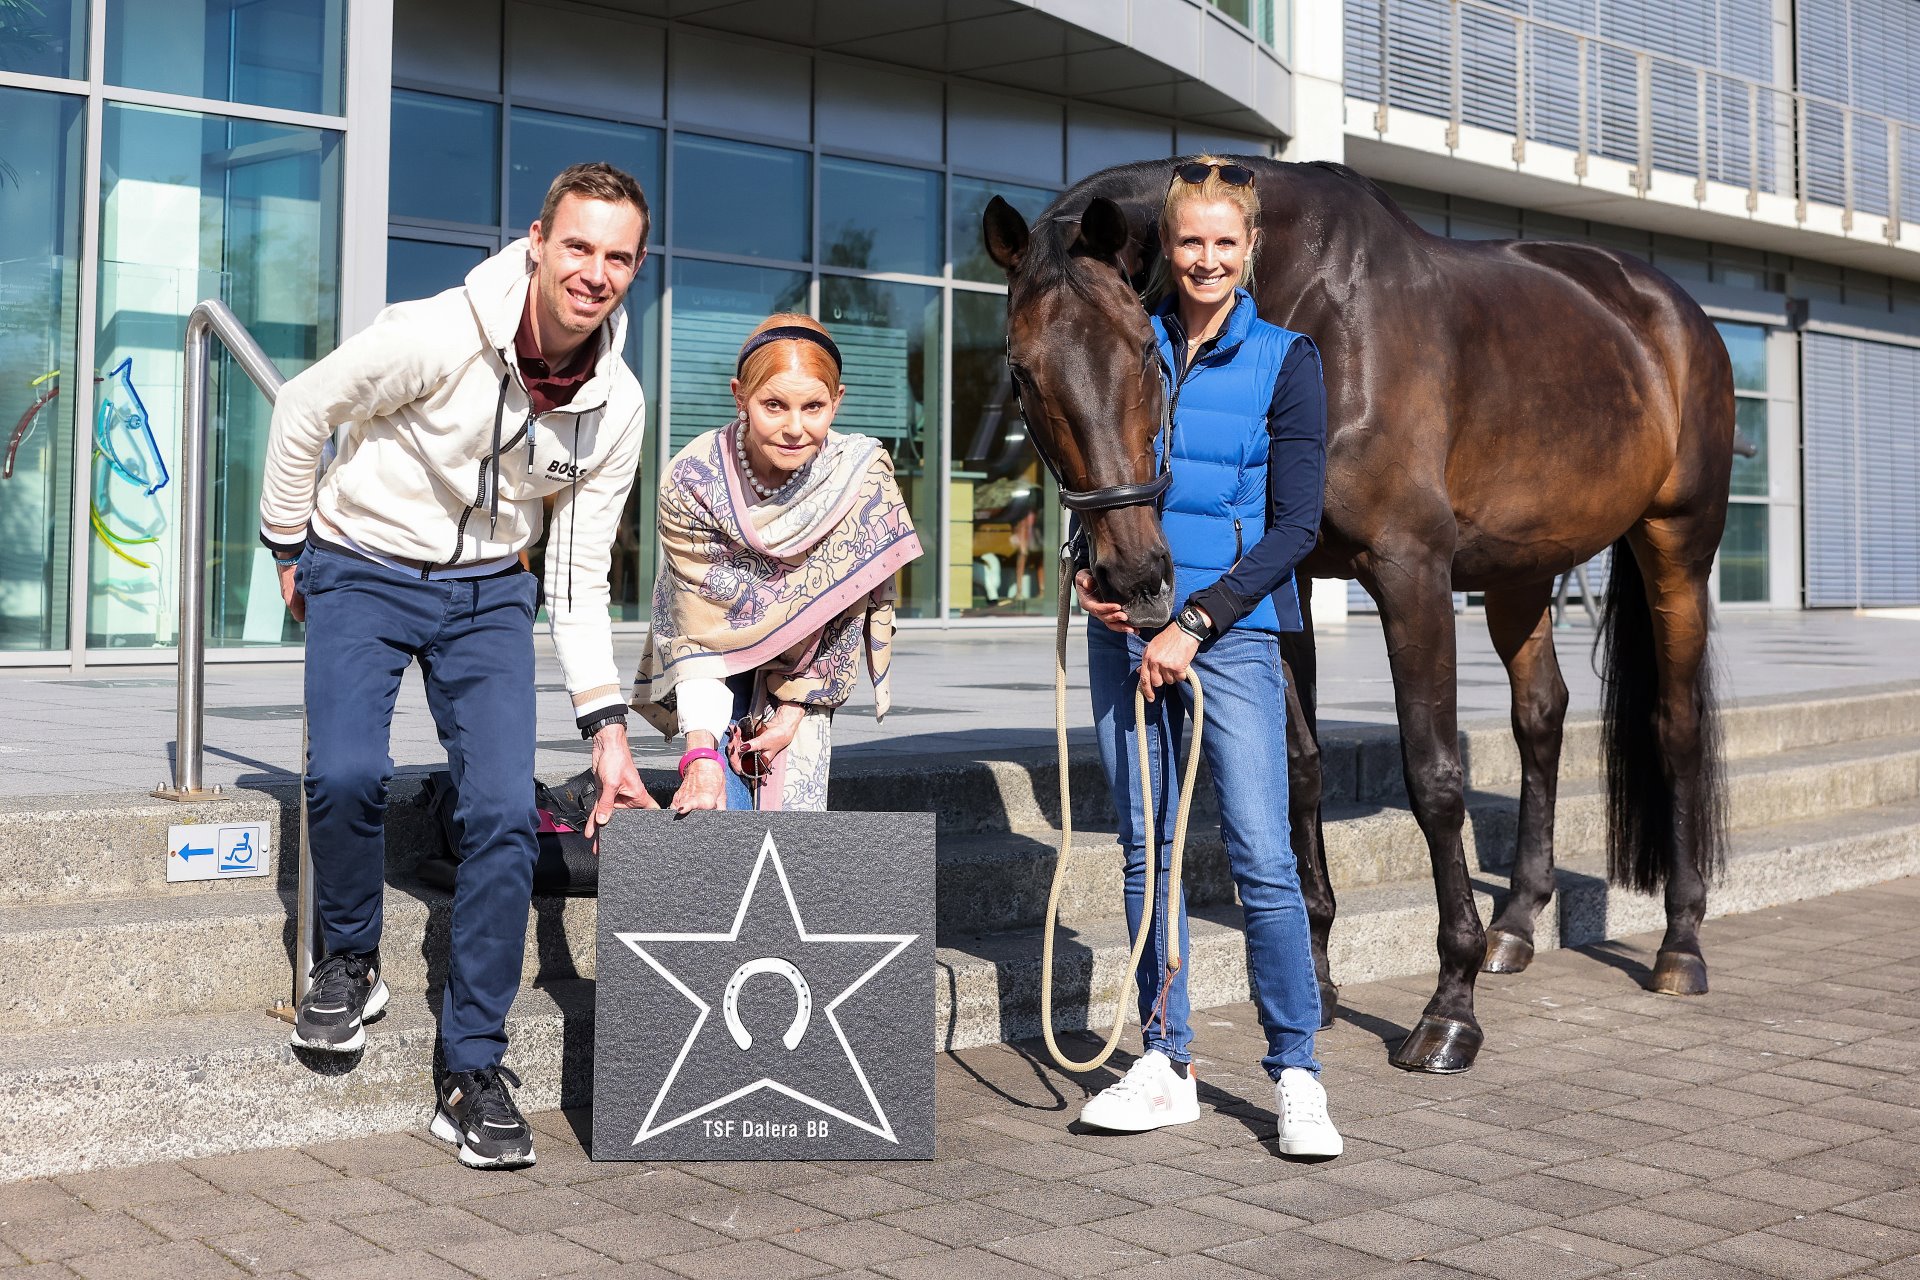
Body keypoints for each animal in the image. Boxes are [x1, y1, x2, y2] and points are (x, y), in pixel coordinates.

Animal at [990, 163, 1743, 1082]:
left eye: (1142, 349)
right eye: (1022, 371)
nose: (1134, 574)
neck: (1311, 309)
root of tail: (1674, 312)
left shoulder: (1409, 572)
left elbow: (1434, 778)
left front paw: (1449, 1010)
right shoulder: (1283, 576)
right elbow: (1296, 772)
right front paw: (1314, 978)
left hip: (1676, 545)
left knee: (1675, 725)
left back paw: (1679, 946)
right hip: (1521, 571)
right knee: (1541, 715)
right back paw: (1517, 927)